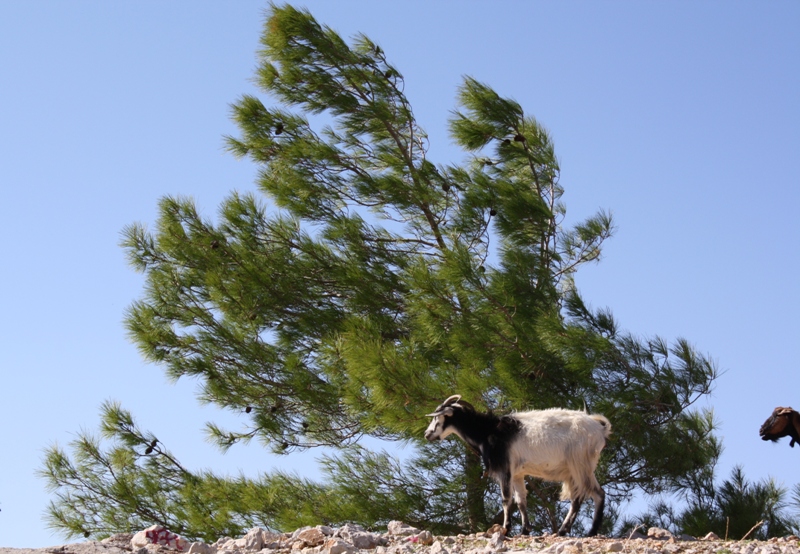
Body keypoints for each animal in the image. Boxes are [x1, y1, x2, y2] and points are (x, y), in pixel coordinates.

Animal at [428, 392, 608, 536]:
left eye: (438, 416)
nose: (427, 434)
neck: (488, 431)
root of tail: (599, 428)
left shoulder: (505, 469)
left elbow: (506, 499)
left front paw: (506, 529)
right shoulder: (517, 474)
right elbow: (521, 501)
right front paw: (524, 530)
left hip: (580, 465)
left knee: (596, 494)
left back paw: (590, 532)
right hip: (577, 470)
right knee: (579, 499)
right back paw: (564, 531)